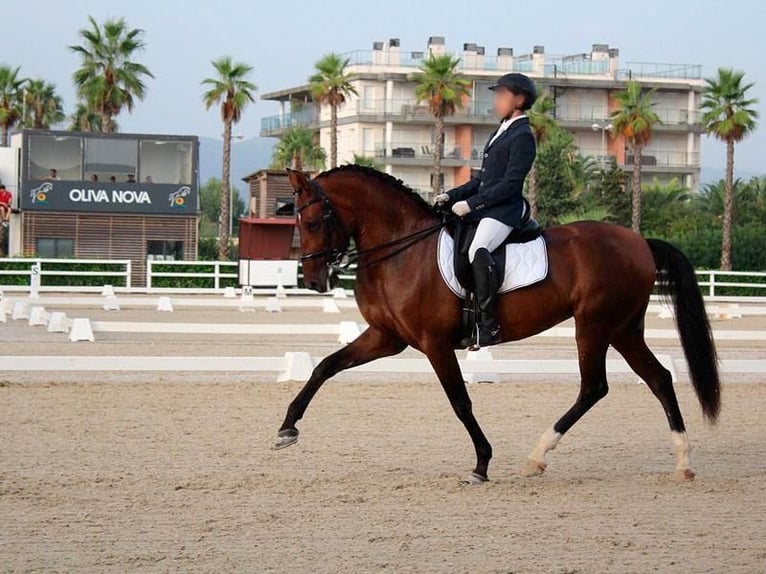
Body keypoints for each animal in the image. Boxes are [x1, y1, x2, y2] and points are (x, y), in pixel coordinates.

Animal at [274, 165, 720, 484]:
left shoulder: (433, 343)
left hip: (594, 325)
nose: (313, 281)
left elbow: (460, 401)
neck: (402, 250)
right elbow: (325, 366)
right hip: (623, 328)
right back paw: (682, 462)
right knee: (658, 377)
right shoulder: (386, 338)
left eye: (313, 223)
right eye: (295, 223)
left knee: (594, 387)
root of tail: (639, 242)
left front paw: (482, 464)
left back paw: (537, 457)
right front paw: (287, 429)